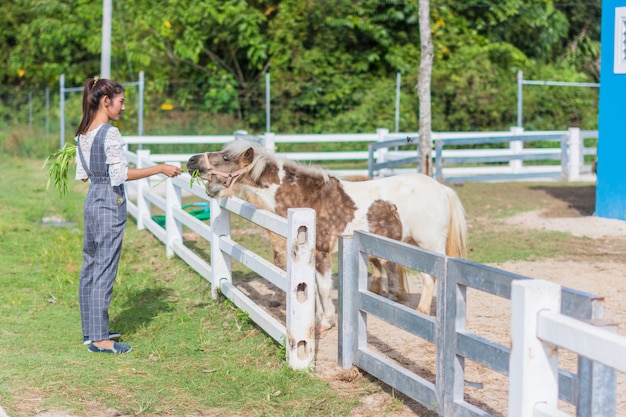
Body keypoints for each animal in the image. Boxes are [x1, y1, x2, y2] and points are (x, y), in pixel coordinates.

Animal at [188, 141, 466, 330]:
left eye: (225, 157)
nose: (191, 161)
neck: (308, 198)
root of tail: (442, 189)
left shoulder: (322, 253)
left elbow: (322, 288)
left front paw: (326, 322)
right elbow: (314, 288)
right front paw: (323, 318)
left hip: (428, 246)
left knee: (432, 279)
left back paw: (422, 312)